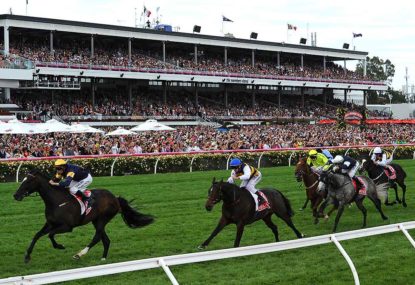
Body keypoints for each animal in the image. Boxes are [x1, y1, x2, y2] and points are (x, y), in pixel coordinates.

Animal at [12, 169, 154, 262]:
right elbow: (37, 235)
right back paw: (103, 258)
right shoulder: (50, 223)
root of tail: (115, 198)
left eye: (28, 181)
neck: (57, 201)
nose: (15, 195)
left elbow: (50, 235)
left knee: (97, 237)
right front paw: (27, 256)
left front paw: (59, 246)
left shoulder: (67, 227)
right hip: (96, 220)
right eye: (23, 180)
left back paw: (79, 254)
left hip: (102, 219)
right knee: (105, 239)